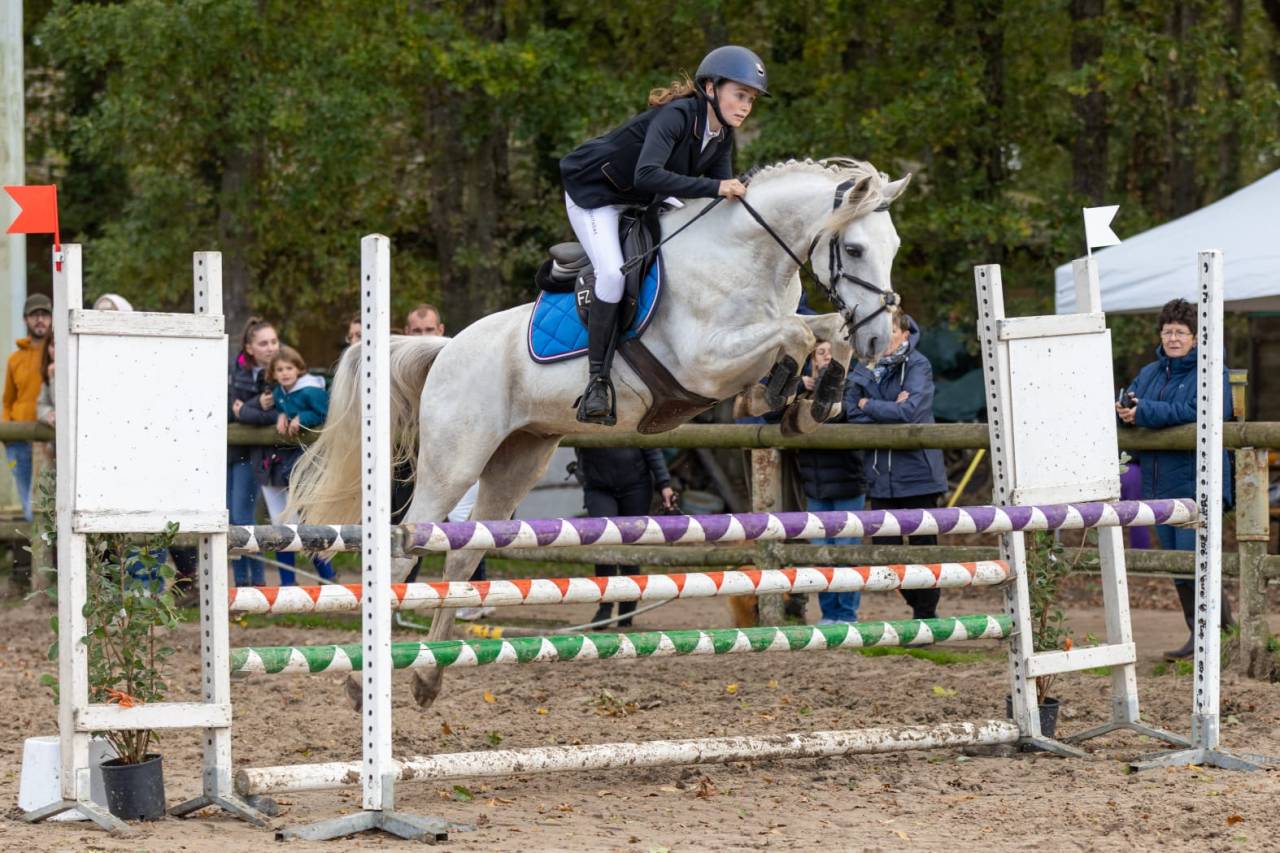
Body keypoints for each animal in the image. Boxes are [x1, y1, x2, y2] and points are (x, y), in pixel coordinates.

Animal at [288, 158, 911, 710]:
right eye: (855, 249)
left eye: (894, 248)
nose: (882, 339)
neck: (745, 256)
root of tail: (445, 347)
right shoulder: (705, 363)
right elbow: (797, 335)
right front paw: (781, 392)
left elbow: (823, 330)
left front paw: (815, 402)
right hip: (456, 459)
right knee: (405, 550)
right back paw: (363, 683)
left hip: (517, 461)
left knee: (464, 559)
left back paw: (427, 676)